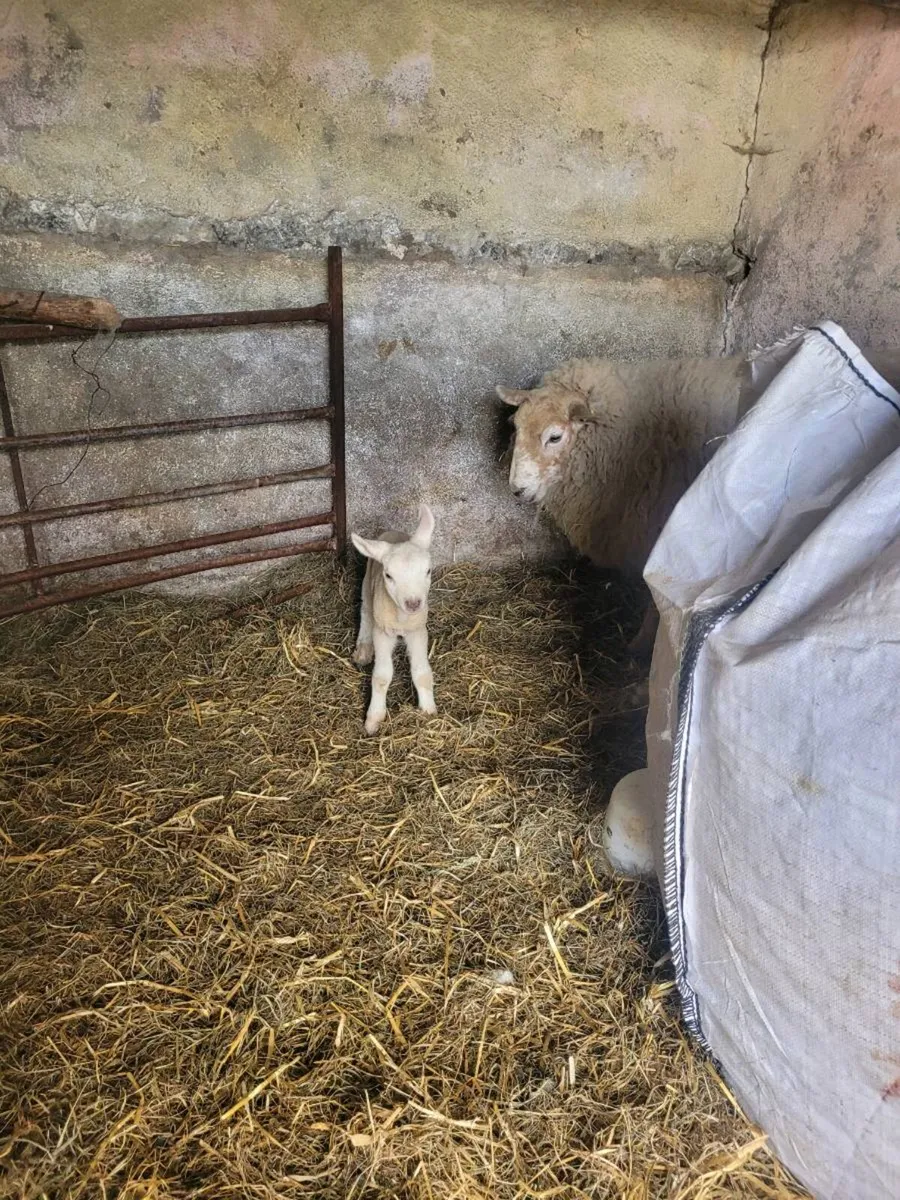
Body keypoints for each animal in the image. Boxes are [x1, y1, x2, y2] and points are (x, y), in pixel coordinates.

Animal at [351, 504, 437, 736]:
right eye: (389, 576)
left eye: (428, 570)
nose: (414, 603)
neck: (402, 619)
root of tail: (391, 532)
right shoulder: (382, 632)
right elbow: (382, 676)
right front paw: (373, 719)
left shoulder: (418, 631)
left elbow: (422, 673)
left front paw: (429, 711)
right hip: (367, 583)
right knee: (365, 611)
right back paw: (363, 649)